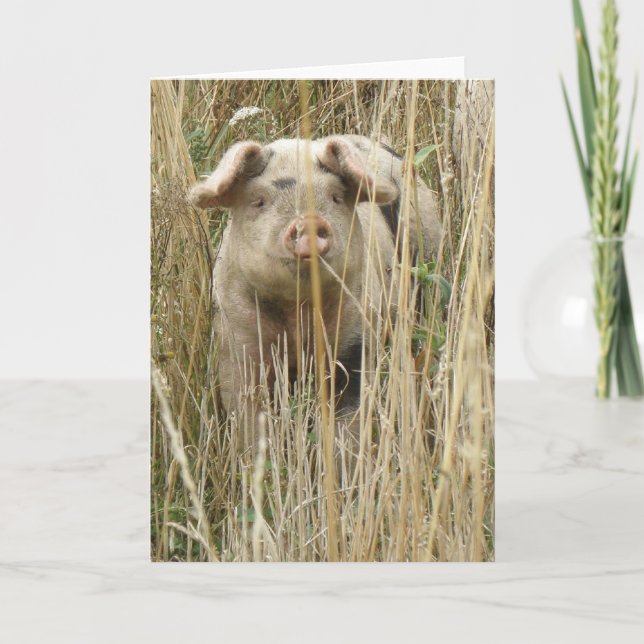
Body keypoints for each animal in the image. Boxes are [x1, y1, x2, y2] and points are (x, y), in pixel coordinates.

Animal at [190, 134, 440, 453]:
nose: (308, 221)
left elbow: (349, 422)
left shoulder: (357, 337)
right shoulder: (236, 341)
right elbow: (249, 417)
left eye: (335, 197)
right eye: (259, 201)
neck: (297, 313)